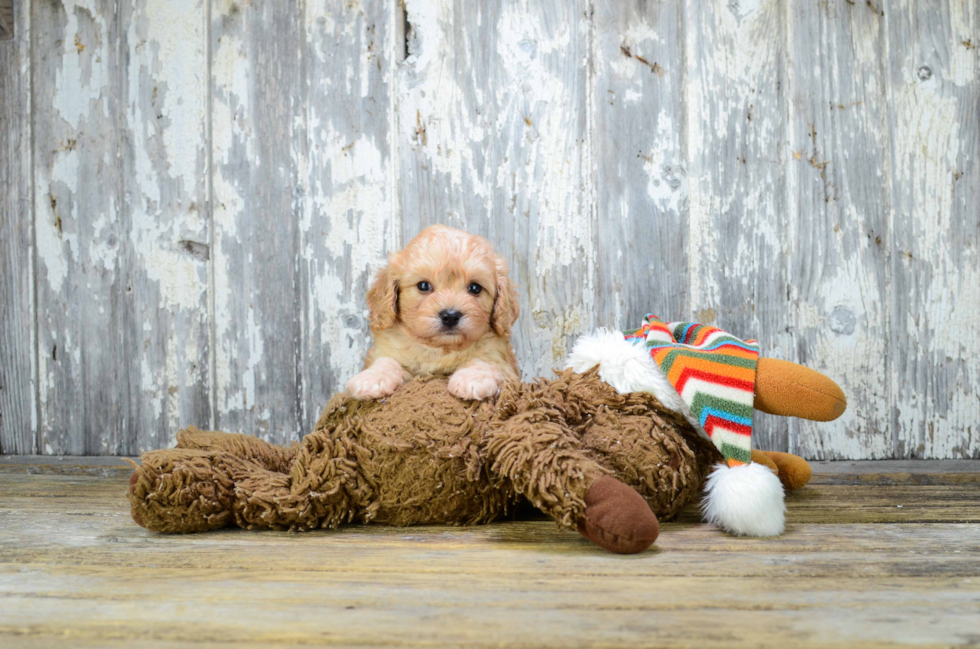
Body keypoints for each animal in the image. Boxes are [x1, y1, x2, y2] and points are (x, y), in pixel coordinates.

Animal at [348, 224, 524, 400]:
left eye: (475, 288)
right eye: (423, 286)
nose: (451, 316)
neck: (440, 349)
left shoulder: (504, 363)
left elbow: (485, 361)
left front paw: (472, 379)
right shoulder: (386, 350)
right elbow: (386, 360)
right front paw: (371, 378)